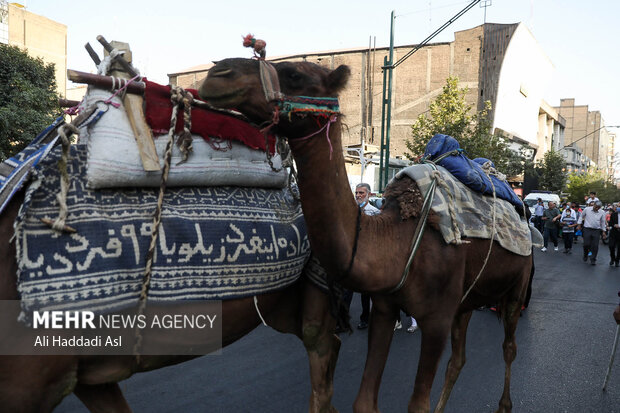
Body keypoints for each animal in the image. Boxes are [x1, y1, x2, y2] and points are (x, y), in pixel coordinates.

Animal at [200, 58, 532, 412]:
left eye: (294, 75)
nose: (218, 74)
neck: (396, 239)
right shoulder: (386, 308)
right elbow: (364, 401)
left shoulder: (437, 319)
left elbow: (418, 404)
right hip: (468, 300)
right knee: (459, 359)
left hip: (517, 285)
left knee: (509, 346)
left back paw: (505, 404)